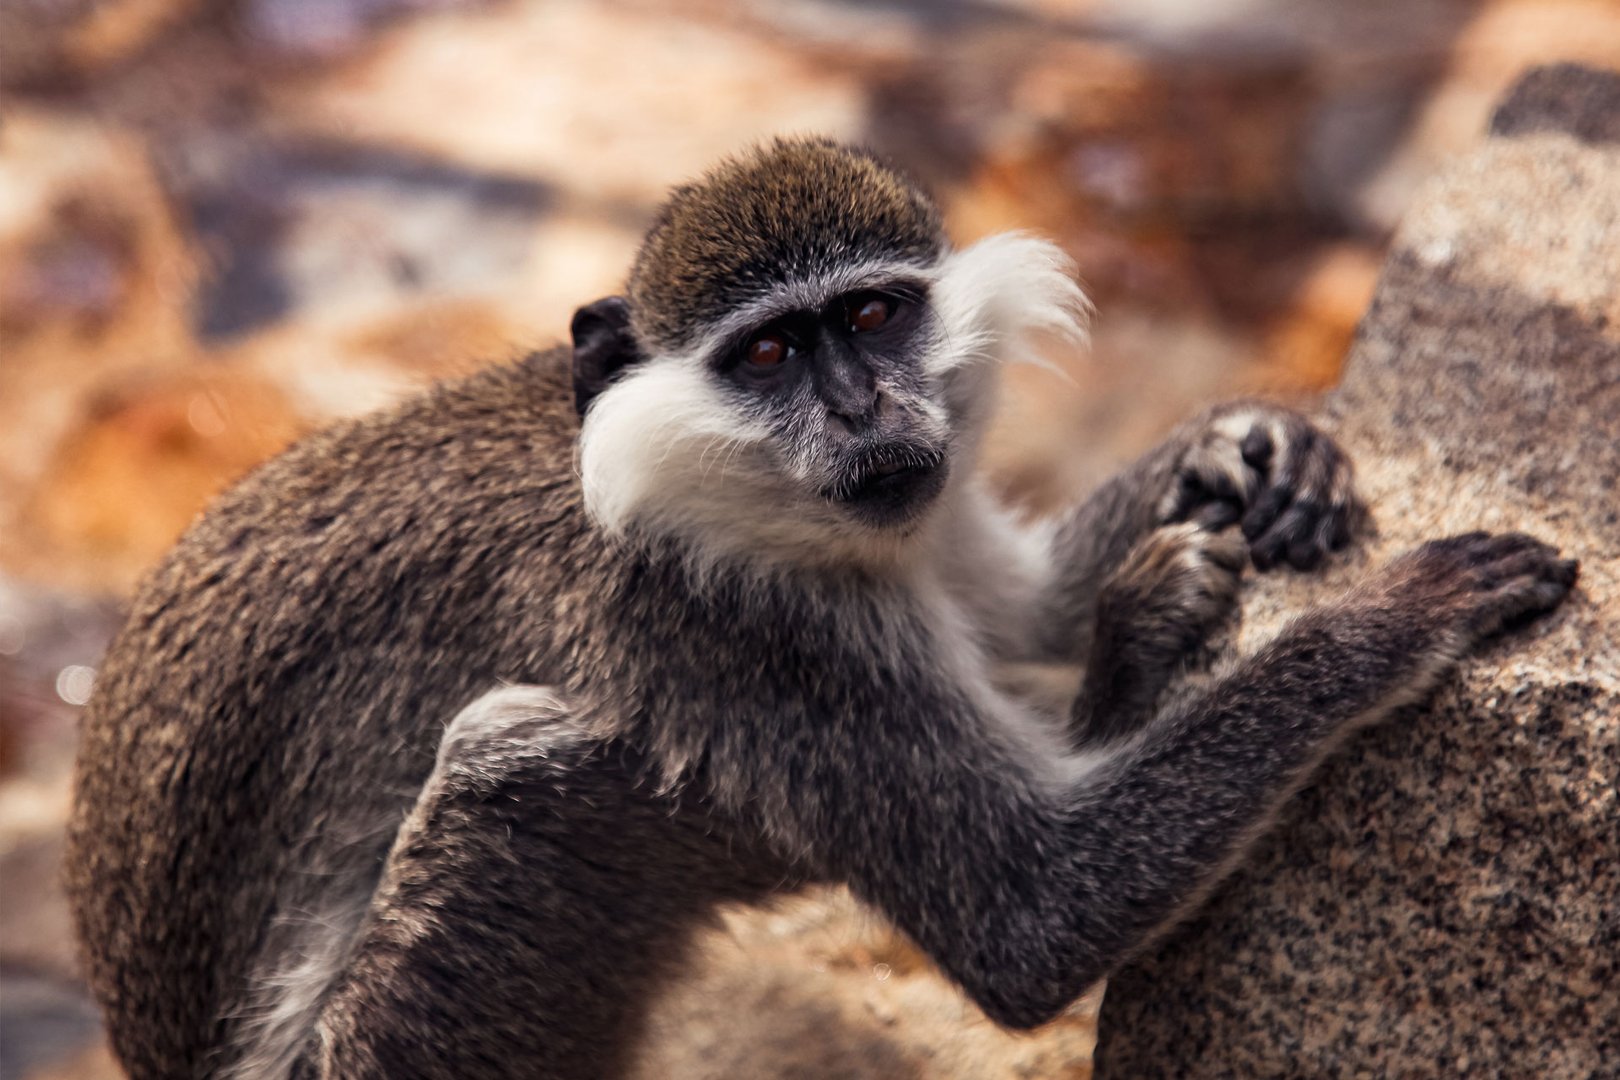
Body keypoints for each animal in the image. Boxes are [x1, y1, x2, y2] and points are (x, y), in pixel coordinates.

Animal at [63, 137, 1577, 1080]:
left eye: (871, 318)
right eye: (771, 354)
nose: (862, 413)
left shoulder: (914, 515)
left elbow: (1013, 606)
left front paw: (1248, 446)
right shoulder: (737, 636)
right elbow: (1033, 922)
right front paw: (1390, 619)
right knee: (525, 766)